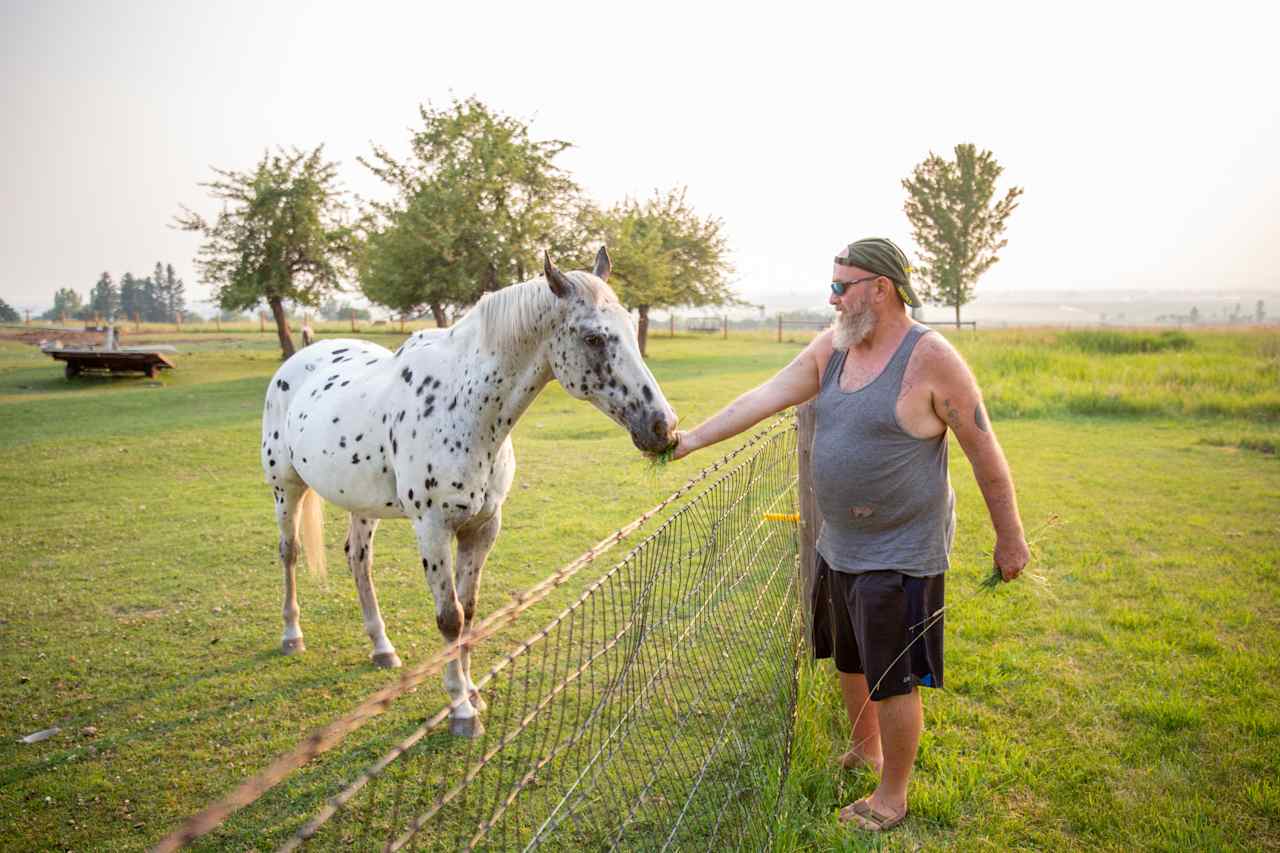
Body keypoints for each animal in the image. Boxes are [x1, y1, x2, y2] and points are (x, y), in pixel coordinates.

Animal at [261, 249, 680, 732]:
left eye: (631, 328)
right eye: (594, 338)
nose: (663, 427)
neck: (461, 407)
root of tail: (298, 360)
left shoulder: (482, 526)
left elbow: (471, 610)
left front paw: (473, 692)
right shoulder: (432, 528)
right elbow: (450, 618)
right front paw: (460, 709)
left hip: (361, 503)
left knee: (358, 561)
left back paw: (382, 648)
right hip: (285, 488)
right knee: (289, 552)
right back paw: (292, 636)